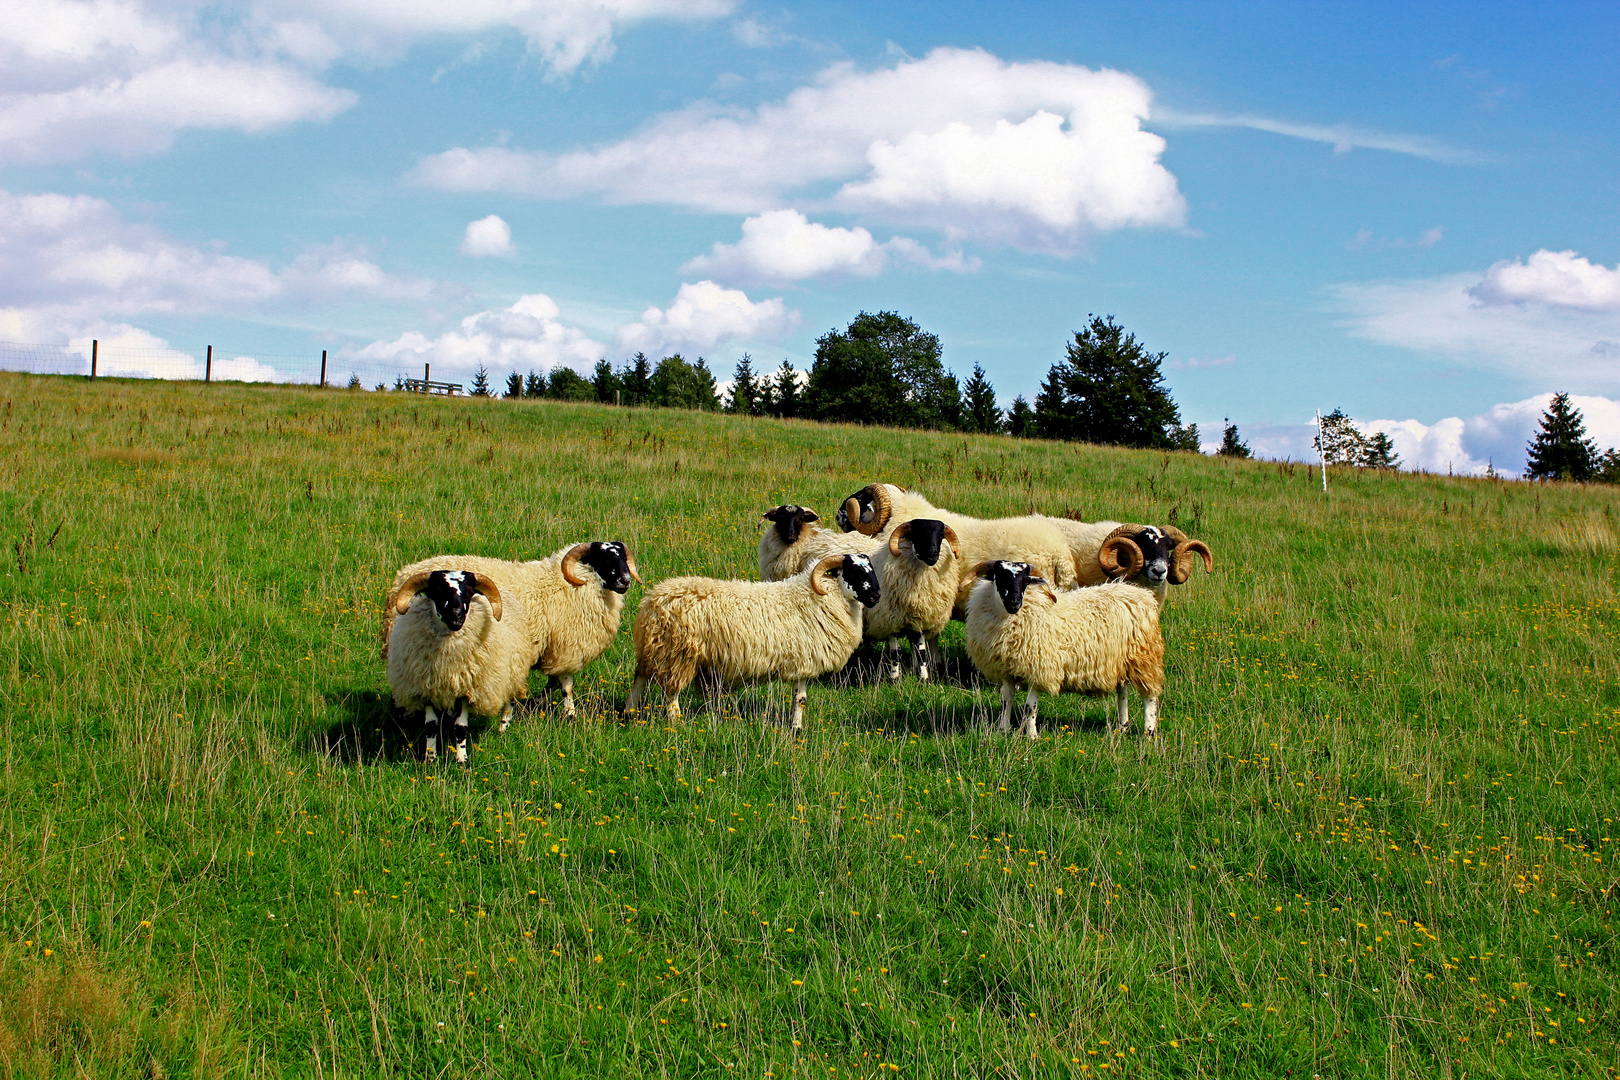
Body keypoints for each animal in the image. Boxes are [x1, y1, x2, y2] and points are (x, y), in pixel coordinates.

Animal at [383, 540, 638, 761]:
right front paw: (570, 715)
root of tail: (402, 577)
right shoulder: (565, 647)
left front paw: (533, 703)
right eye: (603, 559)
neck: (572, 583)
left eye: (622, 557)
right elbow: (565, 685)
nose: (626, 581)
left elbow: (552, 683)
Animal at [622, 557, 881, 725]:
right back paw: (675, 722)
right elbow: (801, 699)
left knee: (640, 677)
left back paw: (629, 712)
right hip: (678, 652)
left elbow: (799, 699)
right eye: (855, 572)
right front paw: (796, 729)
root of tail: (652, 600)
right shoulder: (804, 662)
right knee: (671, 691)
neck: (818, 597)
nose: (877, 596)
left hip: (654, 648)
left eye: (871, 569)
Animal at [959, 557, 1166, 744]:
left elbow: (1029, 707)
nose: (1015, 602)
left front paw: (1032, 736)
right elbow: (1006, 701)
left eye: (1026, 581)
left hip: (1144, 657)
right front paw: (1003, 730)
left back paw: (1148, 732)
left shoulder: (1039, 669)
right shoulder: (1007, 669)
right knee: (1122, 692)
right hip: (1120, 660)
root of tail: (1139, 593)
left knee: (1150, 696)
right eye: (1000, 577)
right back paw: (1122, 726)